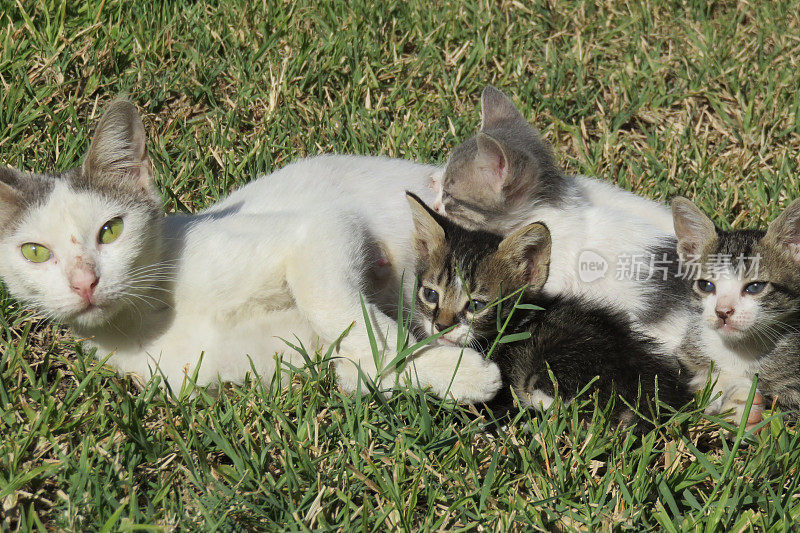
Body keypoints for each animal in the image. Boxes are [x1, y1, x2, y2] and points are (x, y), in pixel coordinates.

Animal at [0, 97, 500, 402]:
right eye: (36, 253)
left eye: (112, 230)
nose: (85, 282)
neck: (147, 318)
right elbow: (353, 355)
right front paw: (427, 369)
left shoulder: (323, 227)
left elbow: (339, 311)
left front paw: (460, 371)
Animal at [672, 195, 800, 424]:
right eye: (705, 285)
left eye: (755, 287)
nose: (723, 311)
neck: (737, 349)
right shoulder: (685, 361)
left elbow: (783, 411)